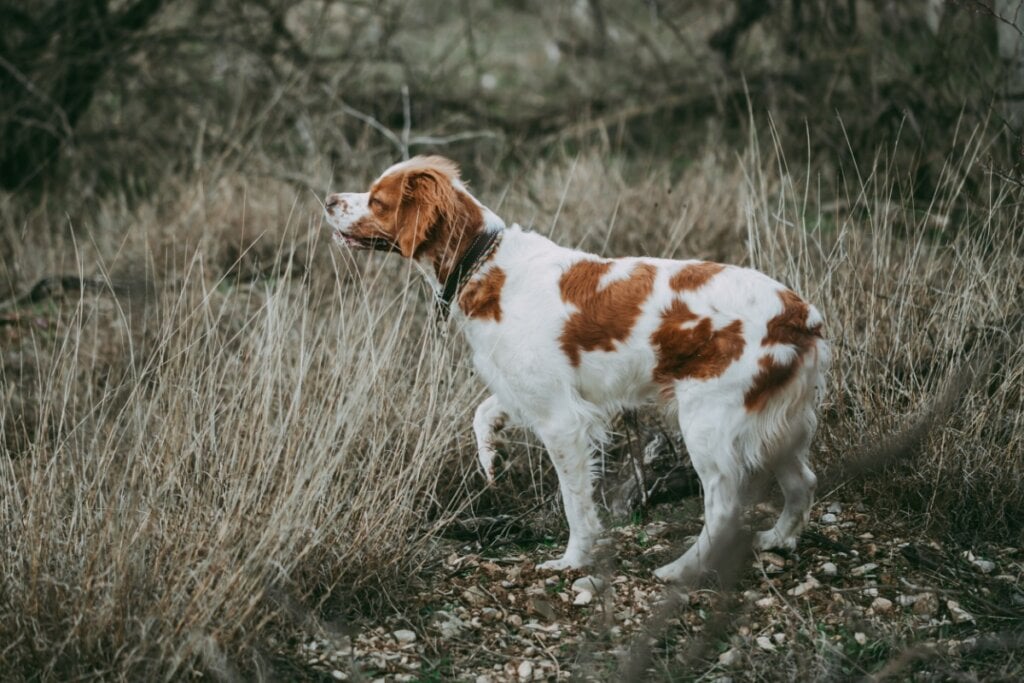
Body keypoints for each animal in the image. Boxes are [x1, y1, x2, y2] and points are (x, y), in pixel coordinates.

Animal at [323, 154, 827, 581]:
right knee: (802, 482)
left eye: (377, 199)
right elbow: (483, 412)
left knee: (724, 509)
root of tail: (800, 314)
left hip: (707, 423)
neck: (486, 264)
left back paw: (681, 570)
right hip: (777, 426)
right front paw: (491, 456)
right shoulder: (528, 388)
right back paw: (776, 539)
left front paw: (573, 559)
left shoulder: (561, 420)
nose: (328, 200)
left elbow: (574, 502)